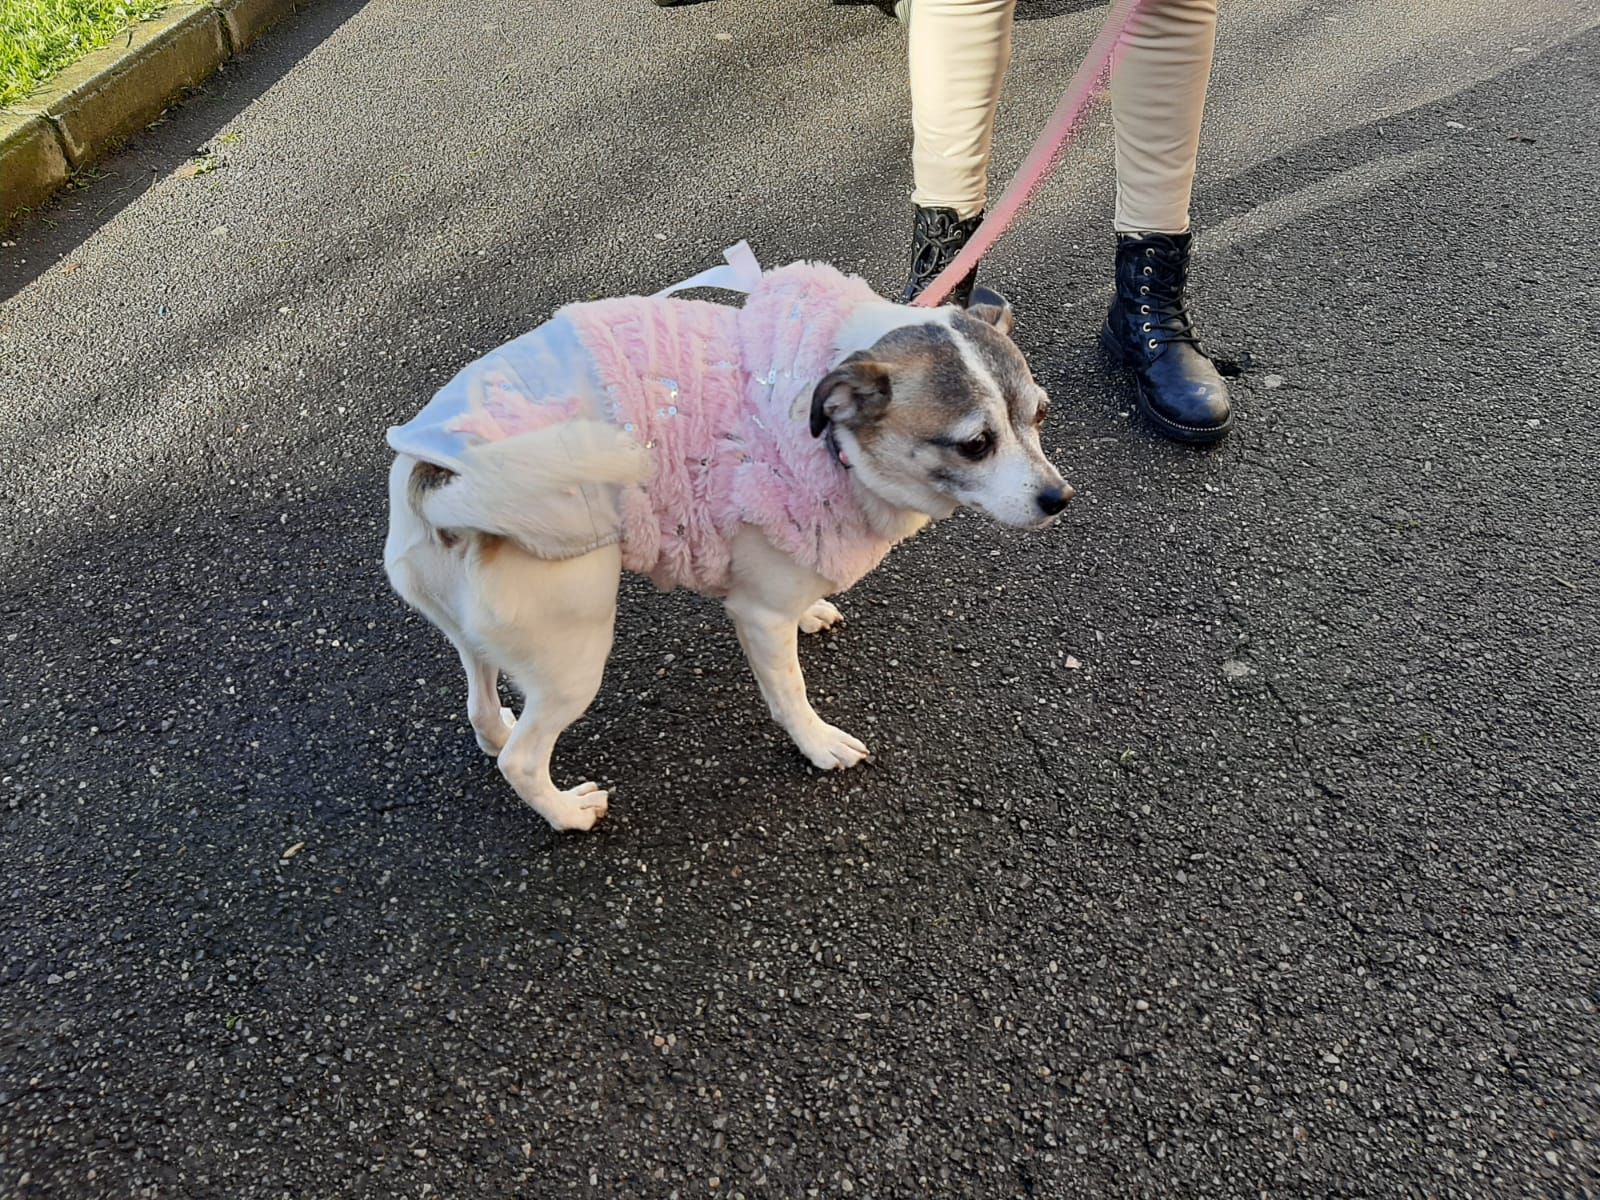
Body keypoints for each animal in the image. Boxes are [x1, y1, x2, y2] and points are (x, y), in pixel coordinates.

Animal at [380, 251, 1068, 838]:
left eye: (1038, 415)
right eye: (975, 444)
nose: (1058, 498)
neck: (831, 432)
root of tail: (437, 481)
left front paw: (812, 612)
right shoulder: (759, 616)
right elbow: (789, 693)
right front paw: (818, 744)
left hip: (478, 632)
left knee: (481, 703)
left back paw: (497, 727)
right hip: (573, 655)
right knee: (521, 760)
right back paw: (565, 812)